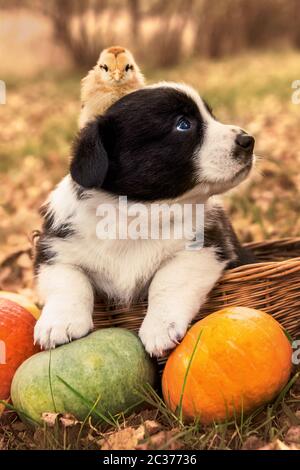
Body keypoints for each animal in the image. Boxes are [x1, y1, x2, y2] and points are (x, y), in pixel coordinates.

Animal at [35, 82, 255, 356]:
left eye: (211, 116)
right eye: (183, 124)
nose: (248, 140)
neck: (137, 213)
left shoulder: (206, 247)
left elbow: (167, 279)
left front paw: (159, 328)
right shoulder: (54, 251)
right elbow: (68, 281)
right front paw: (58, 324)